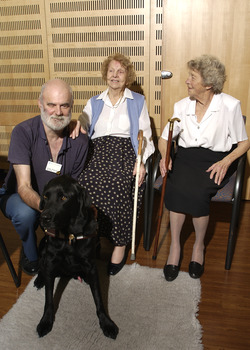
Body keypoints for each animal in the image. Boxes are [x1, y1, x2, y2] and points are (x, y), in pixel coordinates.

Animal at [33, 175, 118, 340]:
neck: (69, 236)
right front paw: (46, 321)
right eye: (45, 197)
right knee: (42, 265)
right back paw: (40, 279)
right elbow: (48, 298)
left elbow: (98, 298)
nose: (43, 218)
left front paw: (106, 323)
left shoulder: (91, 266)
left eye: (63, 197)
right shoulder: (51, 261)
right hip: (43, 248)